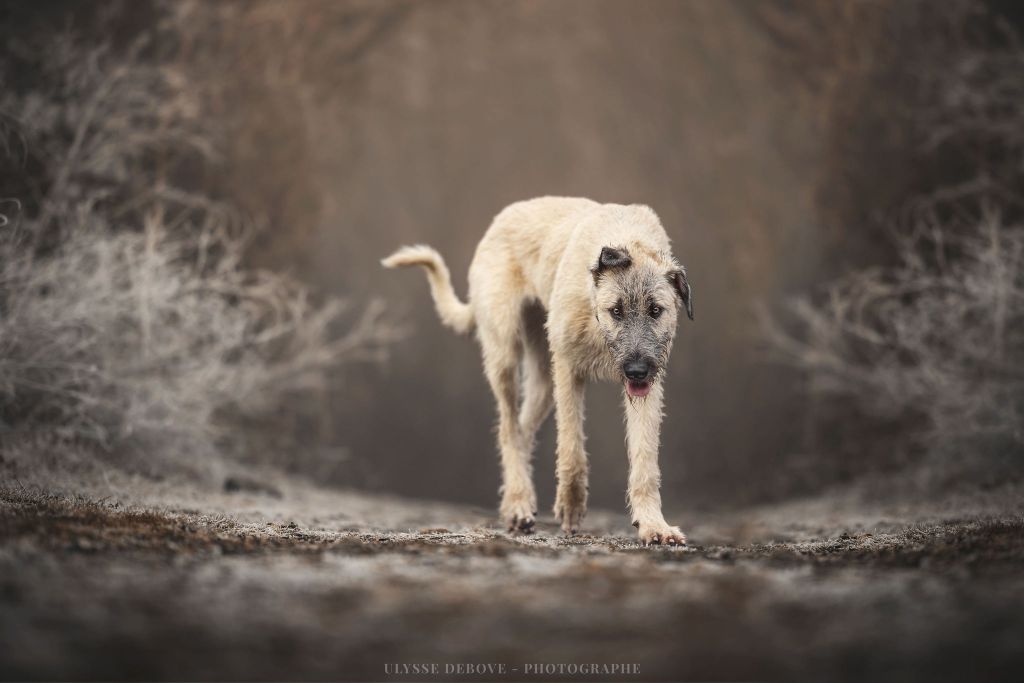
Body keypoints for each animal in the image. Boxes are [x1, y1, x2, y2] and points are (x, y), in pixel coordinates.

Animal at [385, 196, 696, 544]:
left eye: (656, 310)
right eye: (615, 311)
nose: (637, 370)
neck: (627, 238)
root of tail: (500, 219)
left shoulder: (649, 386)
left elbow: (645, 460)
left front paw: (654, 525)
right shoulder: (567, 369)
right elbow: (572, 448)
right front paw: (571, 505)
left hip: (544, 384)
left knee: (522, 431)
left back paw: (514, 498)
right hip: (505, 355)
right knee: (508, 429)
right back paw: (519, 502)